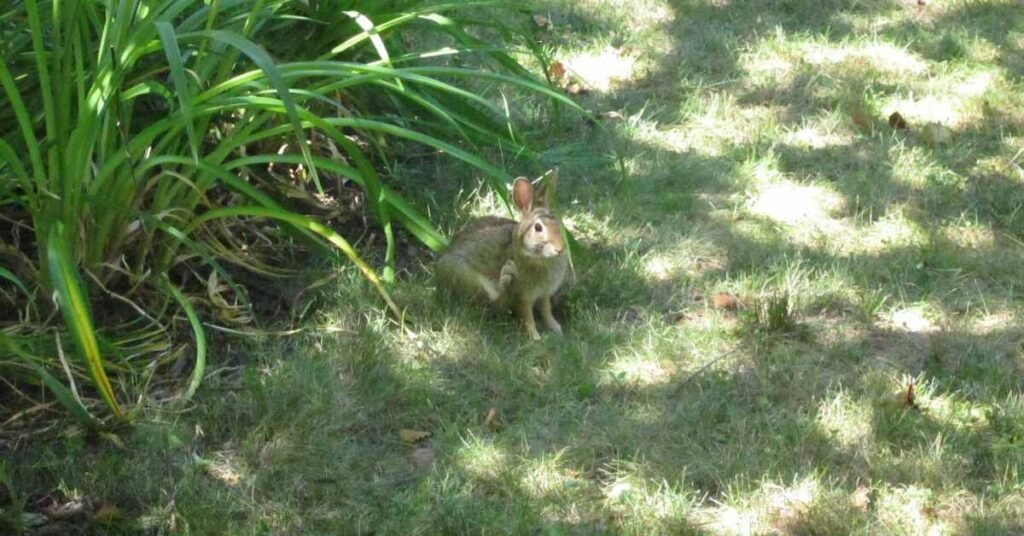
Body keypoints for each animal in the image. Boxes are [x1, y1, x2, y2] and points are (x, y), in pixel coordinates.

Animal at [435, 170, 568, 340]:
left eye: (559, 224)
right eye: (538, 227)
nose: (560, 249)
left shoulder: (544, 294)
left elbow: (546, 311)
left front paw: (557, 328)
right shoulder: (523, 297)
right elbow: (528, 317)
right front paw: (535, 337)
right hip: (464, 274)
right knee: (494, 300)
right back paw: (507, 275)